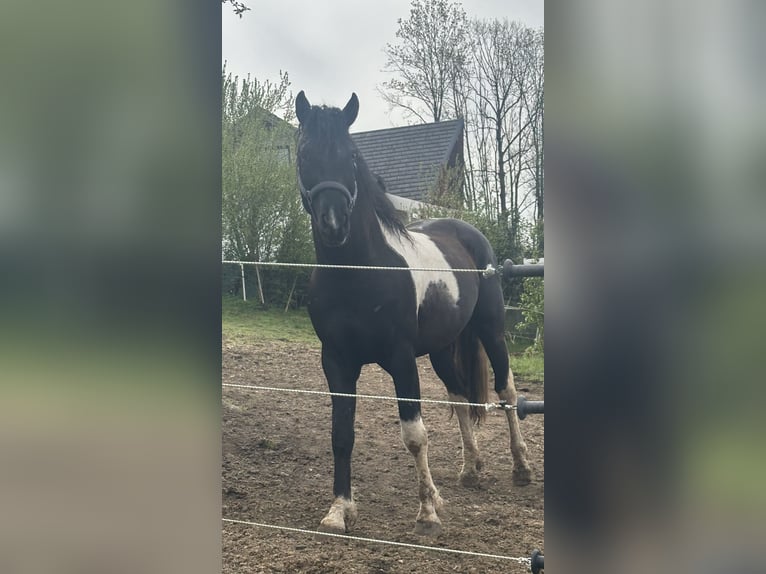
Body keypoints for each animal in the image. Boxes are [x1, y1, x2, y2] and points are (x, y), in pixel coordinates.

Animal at [294, 91, 532, 537]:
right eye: (303, 155)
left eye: (352, 156)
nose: (334, 224)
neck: (359, 273)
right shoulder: (336, 362)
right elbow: (341, 434)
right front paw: (339, 510)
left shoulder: (401, 360)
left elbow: (414, 435)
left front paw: (426, 513)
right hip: (441, 349)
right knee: (460, 397)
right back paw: (471, 469)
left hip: (491, 331)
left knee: (507, 392)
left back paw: (522, 467)